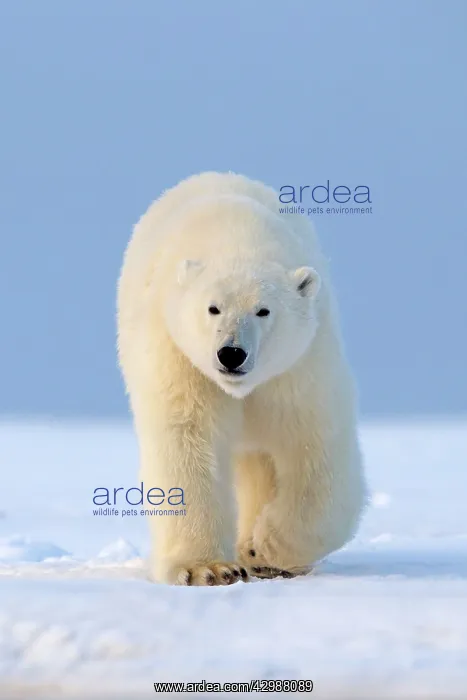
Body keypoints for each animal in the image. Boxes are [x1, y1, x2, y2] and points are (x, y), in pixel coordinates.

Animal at [117, 171, 367, 585]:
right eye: (212, 308)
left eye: (263, 310)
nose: (231, 353)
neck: (235, 236)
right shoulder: (180, 358)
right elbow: (187, 441)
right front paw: (206, 568)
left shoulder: (300, 367)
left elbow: (314, 449)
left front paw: (263, 549)